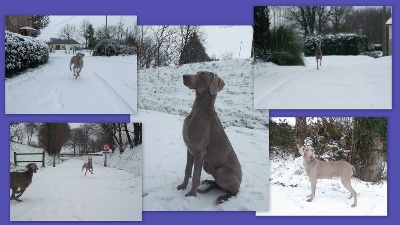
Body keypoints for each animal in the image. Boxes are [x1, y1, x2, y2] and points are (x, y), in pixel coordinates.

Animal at [179, 71, 244, 205]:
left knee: (234, 191)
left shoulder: (200, 151)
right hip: (207, 165)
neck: (197, 110)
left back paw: (222, 197)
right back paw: (207, 185)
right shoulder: (190, 150)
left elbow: (196, 175)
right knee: (218, 185)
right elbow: (187, 170)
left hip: (221, 171)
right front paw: (183, 186)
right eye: (197, 72)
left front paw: (191, 195)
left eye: (203, 75)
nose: (184, 76)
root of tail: (240, 180)